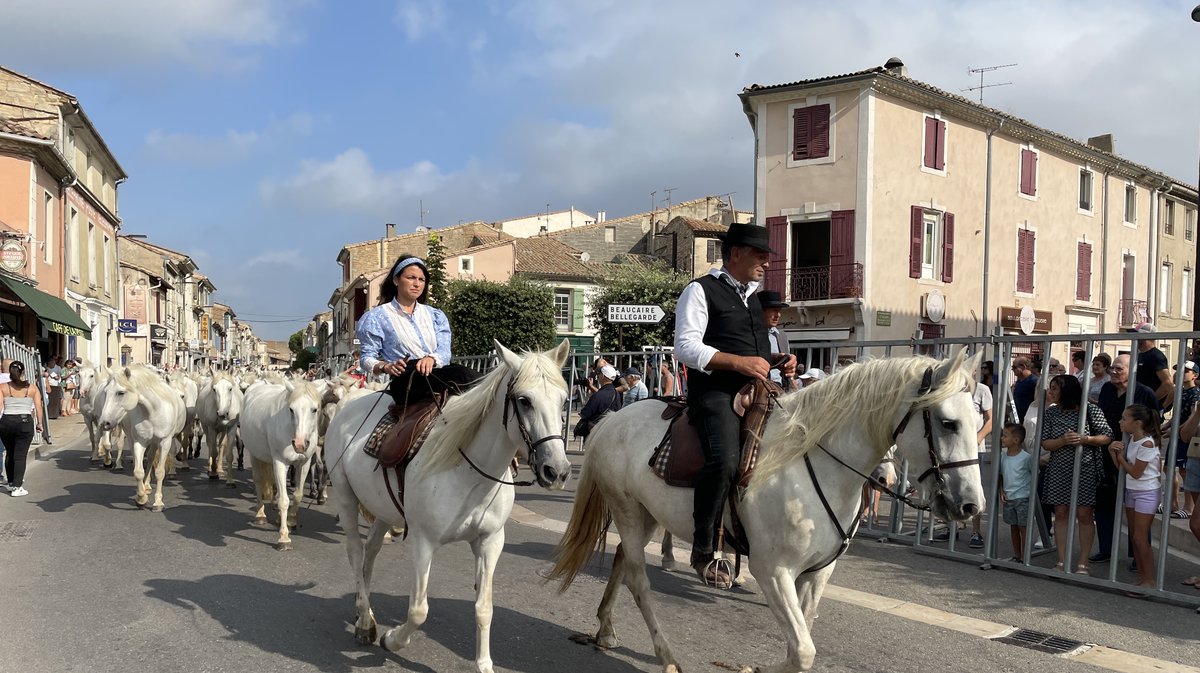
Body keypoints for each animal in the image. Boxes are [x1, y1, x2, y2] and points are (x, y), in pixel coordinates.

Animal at [96, 364, 186, 511]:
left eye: (120, 393)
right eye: (106, 392)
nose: (104, 423)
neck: (153, 411)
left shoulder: (165, 442)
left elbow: (160, 472)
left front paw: (158, 503)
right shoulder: (140, 442)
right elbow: (138, 472)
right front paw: (141, 498)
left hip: (158, 442)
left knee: (151, 459)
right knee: (147, 459)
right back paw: (146, 487)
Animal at [326, 340, 573, 671]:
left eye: (563, 400)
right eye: (524, 400)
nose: (556, 471)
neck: (468, 471)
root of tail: (348, 405)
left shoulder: (491, 541)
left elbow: (484, 607)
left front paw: (484, 664)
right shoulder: (422, 542)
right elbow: (418, 610)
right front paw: (392, 640)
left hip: (383, 510)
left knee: (370, 553)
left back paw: (362, 610)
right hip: (345, 496)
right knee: (354, 552)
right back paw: (366, 623)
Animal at [549, 347, 988, 667]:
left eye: (978, 417)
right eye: (948, 423)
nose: (971, 505)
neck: (815, 463)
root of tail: (612, 420)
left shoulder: (817, 573)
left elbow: (802, 640)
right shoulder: (773, 571)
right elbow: (803, 651)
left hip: (648, 516)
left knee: (622, 560)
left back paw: (606, 630)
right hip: (627, 511)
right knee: (639, 580)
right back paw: (667, 654)